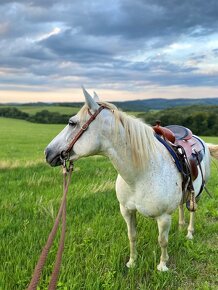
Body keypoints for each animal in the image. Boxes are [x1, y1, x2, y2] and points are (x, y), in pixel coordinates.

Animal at [44, 89, 218, 272]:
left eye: (72, 123)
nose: (47, 152)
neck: (140, 175)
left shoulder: (163, 217)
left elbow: (162, 241)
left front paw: (162, 265)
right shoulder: (127, 211)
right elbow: (132, 236)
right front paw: (132, 262)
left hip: (197, 193)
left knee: (192, 211)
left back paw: (189, 233)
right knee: (181, 207)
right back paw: (181, 226)